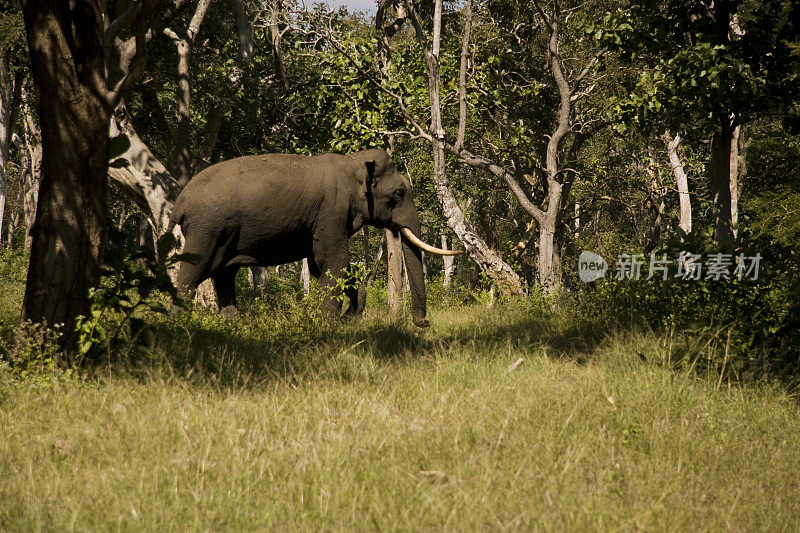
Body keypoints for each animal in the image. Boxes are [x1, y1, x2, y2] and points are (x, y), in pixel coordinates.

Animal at [170, 148, 460, 326]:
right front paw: (327, 325)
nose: (425, 323)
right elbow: (333, 262)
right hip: (206, 230)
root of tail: (180, 203)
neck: (353, 162)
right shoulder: (332, 210)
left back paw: (233, 325)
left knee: (224, 276)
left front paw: (345, 318)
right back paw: (180, 325)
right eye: (399, 193)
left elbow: (323, 266)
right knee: (190, 276)